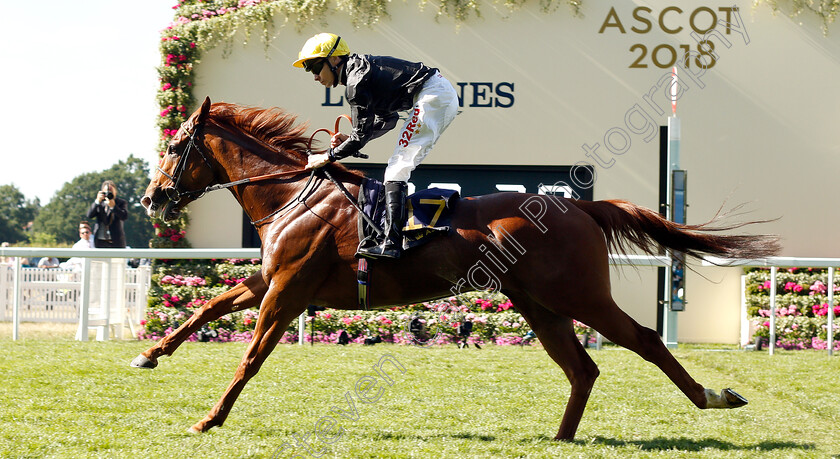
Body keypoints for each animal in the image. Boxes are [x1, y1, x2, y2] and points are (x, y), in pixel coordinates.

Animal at [133, 98, 780, 442]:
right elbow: (207, 307)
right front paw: (148, 354)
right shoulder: (269, 281)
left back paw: (712, 397)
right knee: (583, 367)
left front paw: (209, 418)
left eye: (177, 146)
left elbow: (249, 358)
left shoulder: (287, 293)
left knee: (643, 340)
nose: (151, 197)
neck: (294, 194)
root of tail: (580, 206)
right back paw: (561, 437)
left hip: (578, 294)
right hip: (538, 304)